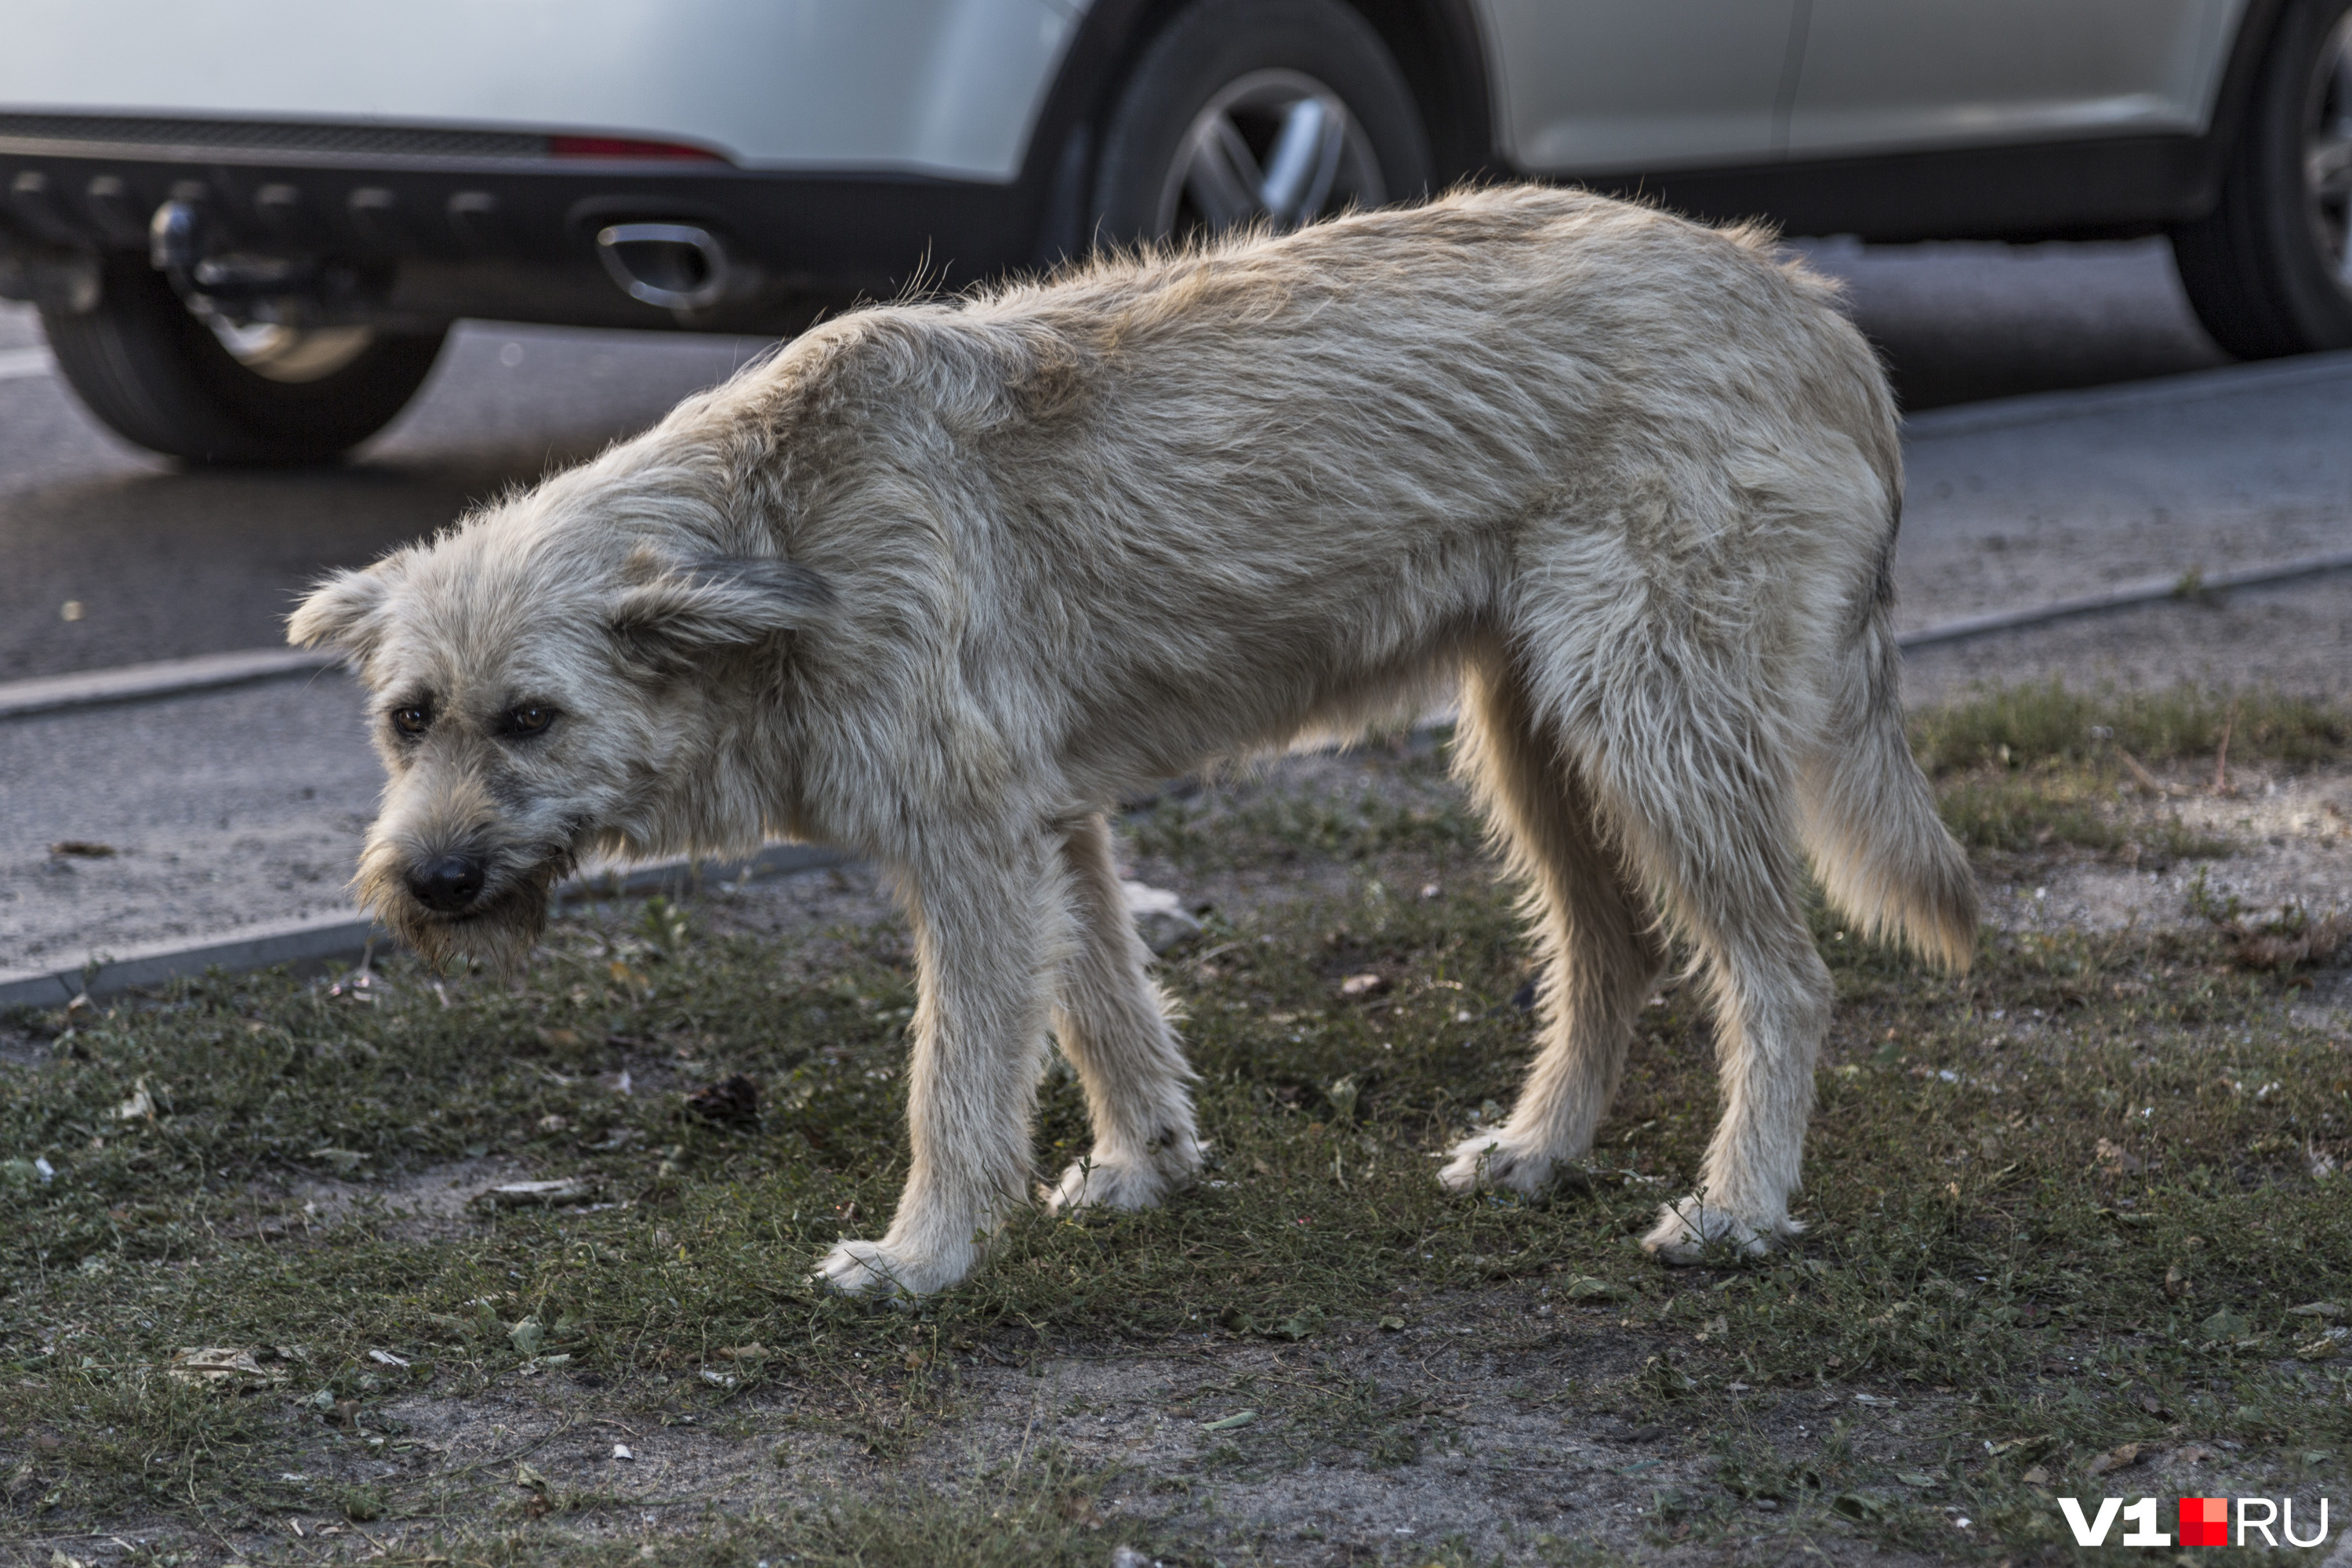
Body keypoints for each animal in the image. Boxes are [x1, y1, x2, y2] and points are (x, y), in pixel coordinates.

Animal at [299, 184, 1985, 1298]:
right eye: (407, 720)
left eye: (531, 717)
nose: (427, 883)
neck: (777, 538)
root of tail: (1804, 299)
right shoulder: (1051, 836)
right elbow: (1104, 1010)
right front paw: (1145, 1167)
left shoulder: (973, 855)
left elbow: (956, 1078)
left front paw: (922, 1256)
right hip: (1540, 747)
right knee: (1617, 955)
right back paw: (1542, 1151)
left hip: (1651, 733)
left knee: (1781, 977)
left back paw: (1742, 1207)